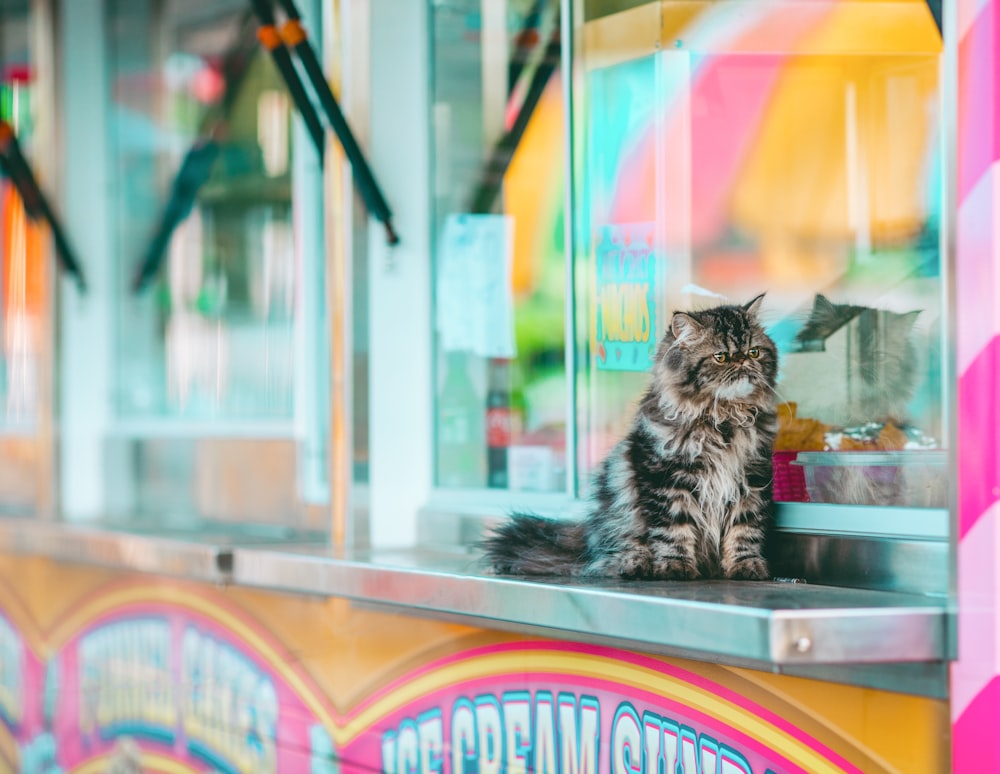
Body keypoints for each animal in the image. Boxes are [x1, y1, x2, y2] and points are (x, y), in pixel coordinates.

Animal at [482, 298, 780, 584]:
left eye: (754, 352)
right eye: (721, 357)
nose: (743, 362)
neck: (723, 420)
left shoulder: (751, 480)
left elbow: (745, 531)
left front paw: (746, 566)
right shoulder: (665, 480)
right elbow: (673, 530)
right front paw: (675, 567)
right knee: (615, 554)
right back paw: (638, 566)